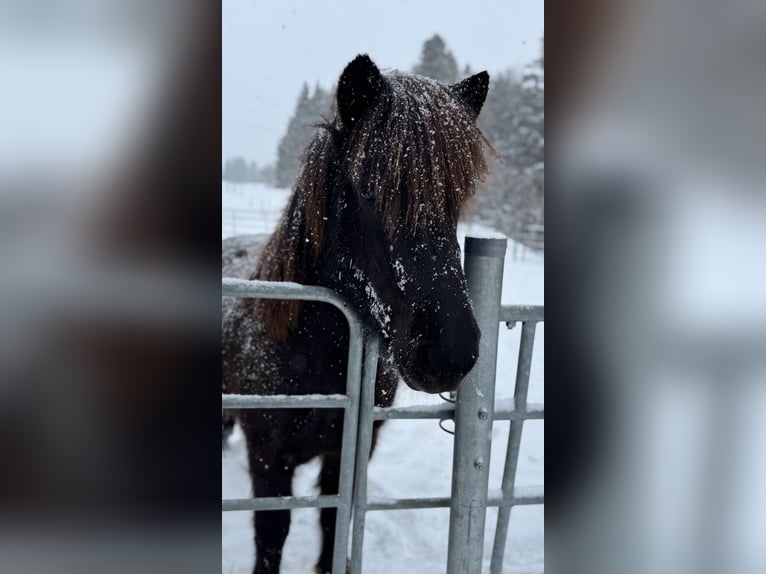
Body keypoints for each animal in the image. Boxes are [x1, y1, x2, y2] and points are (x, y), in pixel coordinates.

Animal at [222, 54, 493, 574]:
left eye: (457, 197)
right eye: (369, 190)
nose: (450, 354)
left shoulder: (349, 454)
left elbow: (334, 526)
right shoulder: (267, 459)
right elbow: (272, 535)